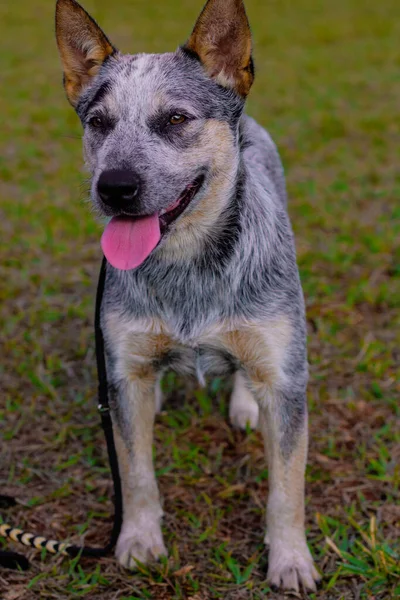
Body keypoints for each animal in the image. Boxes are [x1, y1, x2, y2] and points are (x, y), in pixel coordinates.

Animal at [56, 0, 320, 592]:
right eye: (98, 122)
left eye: (175, 119)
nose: (114, 187)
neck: (188, 269)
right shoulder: (123, 372)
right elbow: (136, 473)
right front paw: (137, 541)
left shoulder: (288, 379)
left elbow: (287, 488)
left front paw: (290, 560)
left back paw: (244, 404)